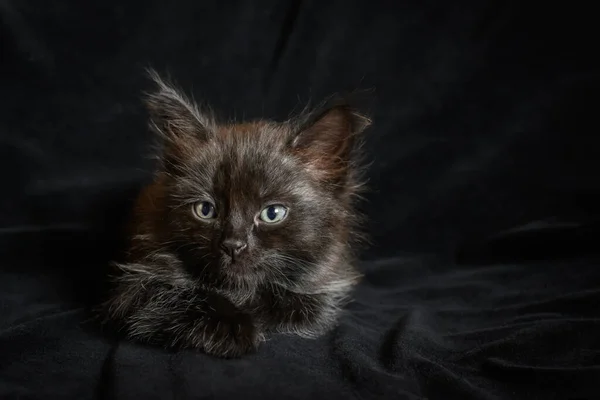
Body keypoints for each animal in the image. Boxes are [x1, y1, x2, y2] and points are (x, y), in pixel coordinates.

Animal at [101, 70, 372, 358]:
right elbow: (172, 294)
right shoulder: (133, 287)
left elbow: (297, 307)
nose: (233, 245)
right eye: (206, 210)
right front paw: (233, 328)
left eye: (272, 213)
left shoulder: (324, 287)